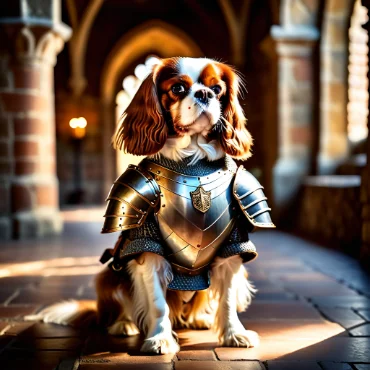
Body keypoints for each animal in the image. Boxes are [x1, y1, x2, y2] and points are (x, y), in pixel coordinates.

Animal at [26, 57, 274, 352]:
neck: (193, 161)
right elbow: (157, 303)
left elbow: (226, 300)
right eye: (178, 88)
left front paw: (234, 334)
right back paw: (124, 325)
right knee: (123, 302)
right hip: (109, 275)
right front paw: (160, 339)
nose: (204, 94)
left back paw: (199, 319)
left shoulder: (234, 245)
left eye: (217, 89)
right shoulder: (146, 246)